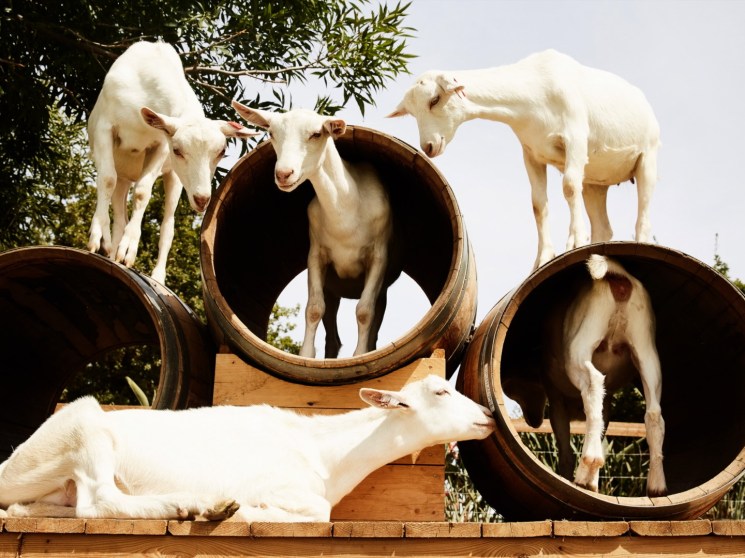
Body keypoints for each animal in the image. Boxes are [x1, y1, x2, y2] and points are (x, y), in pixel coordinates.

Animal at [0, 375, 495, 521]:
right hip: (82, 427)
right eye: (441, 392)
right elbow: (319, 512)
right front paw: (248, 510)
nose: (489, 416)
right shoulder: (285, 486)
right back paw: (197, 505)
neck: (323, 452)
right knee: (98, 501)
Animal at [87, 41, 255, 284]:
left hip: (173, 178)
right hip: (124, 172)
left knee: (166, 225)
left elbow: (142, 192)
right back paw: (111, 248)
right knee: (118, 203)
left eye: (221, 151)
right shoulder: (105, 128)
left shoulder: (159, 144)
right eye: (178, 150)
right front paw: (99, 239)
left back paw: (154, 275)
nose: (202, 199)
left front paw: (127, 251)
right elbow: (107, 179)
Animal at [231, 103, 403, 358]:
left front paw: (360, 355)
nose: (284, 174)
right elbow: (313, 309)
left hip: (380, 291)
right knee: (332, 337)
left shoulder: (378, 256)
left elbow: (364, 312)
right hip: (332, 290)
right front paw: (305, 357)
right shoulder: (316, 256)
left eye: (316, 134)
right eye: (271, 133)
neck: (347, 211)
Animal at [388, 49, 660, 270]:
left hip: (647, 158)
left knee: (644, 216)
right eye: (413, 112)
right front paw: (543, 258)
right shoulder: (531, 153)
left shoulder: (575, 139)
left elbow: (569, 187)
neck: (534, 93)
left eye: (434, 100)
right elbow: (538, 204)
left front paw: (574, 241)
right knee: (603, 225)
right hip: (595, 180)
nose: (428, 146)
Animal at [503, 255, 666, 497]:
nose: (533, 421)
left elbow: (565, 451)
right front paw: (594, 483)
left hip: (580, 344)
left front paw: (571, 477)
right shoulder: (607, 405)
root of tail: (618, 279)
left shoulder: (556, 402)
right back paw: (657, 485)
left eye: (514, 389)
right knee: (654, 412)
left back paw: (588, 465)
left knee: (593, 382)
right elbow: (599, 425)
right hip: (646, 349)